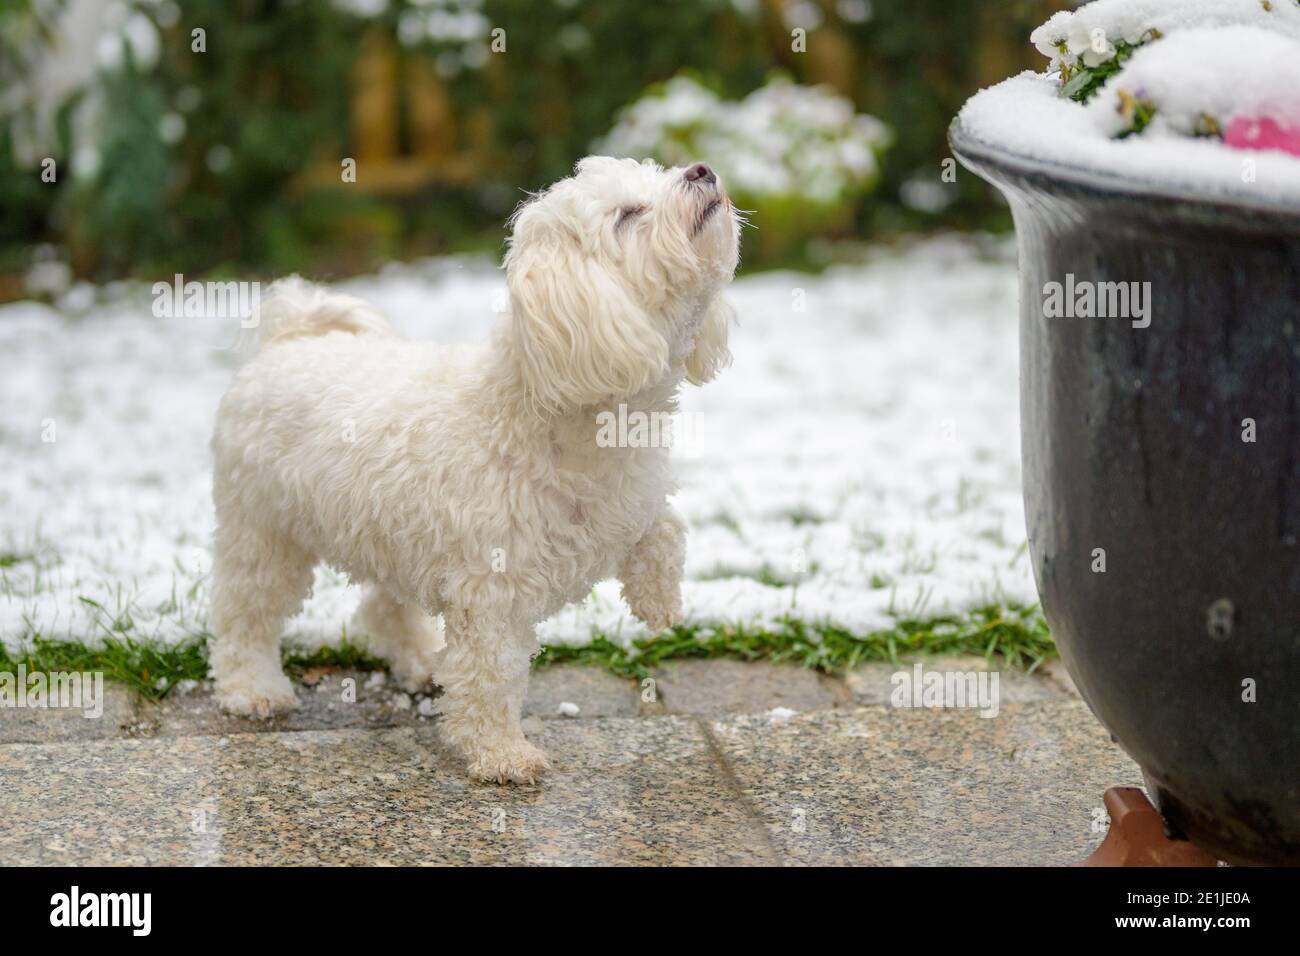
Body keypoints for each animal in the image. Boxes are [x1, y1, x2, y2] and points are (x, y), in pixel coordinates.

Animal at [206, 158, 738, 785]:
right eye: (628, 214)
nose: (700, 169)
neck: (554, 410)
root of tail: (289, 341)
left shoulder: (633, 498)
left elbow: (664, 528)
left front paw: (659, 601)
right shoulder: (492, 590)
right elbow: (491, 676)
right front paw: (501, 753)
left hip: (389, 529)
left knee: (382, 606)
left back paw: (421, 660)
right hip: (263, 530)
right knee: (244, 612)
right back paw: (252, 689)